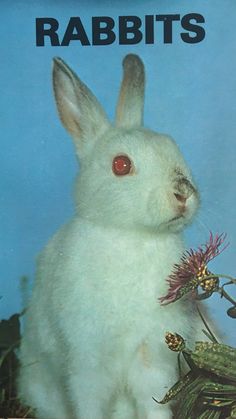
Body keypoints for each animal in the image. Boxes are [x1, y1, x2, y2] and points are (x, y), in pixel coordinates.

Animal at [19, 54, 202, 418]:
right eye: (121, 165)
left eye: (174, 148)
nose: (183, 193)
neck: (133, 235)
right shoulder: (87, 361)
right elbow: (88, 403)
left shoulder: (152, 357)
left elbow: (154, 403)